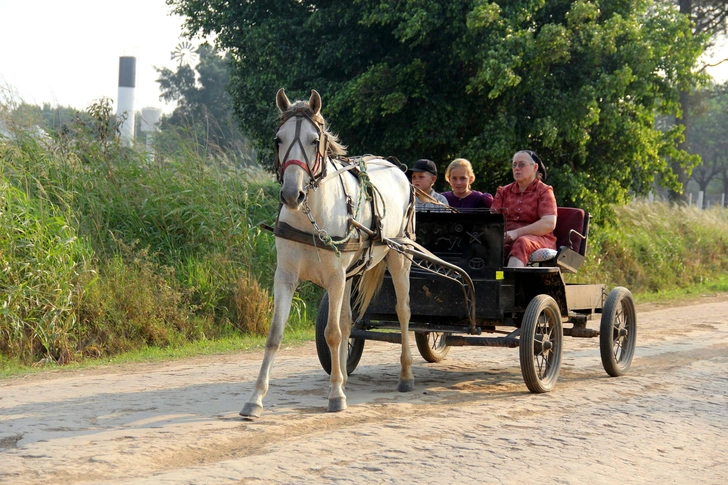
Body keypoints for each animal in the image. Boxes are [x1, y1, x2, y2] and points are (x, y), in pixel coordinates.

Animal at [242, 88, 416, 416]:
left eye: (314, 140)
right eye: (278, 139)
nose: (292, 194)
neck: (310, 215)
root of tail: (395, 167)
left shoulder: (335, 276)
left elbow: (332, 333)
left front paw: (335, 395)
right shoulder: (286, 276)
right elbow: (275, 335)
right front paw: (255, 398)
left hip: (398, 256)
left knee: (403, 312)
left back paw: (406, 374)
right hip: (350, 273)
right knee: (348, 319)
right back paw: (344, 375)